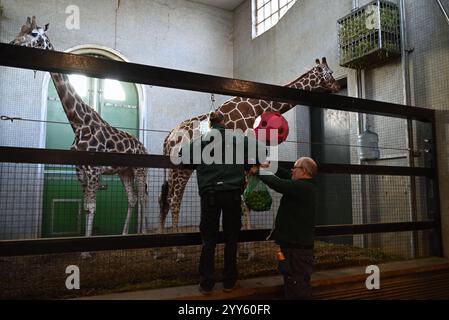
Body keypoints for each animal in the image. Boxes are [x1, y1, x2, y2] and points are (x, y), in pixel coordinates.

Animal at [10, 16, 149, 248]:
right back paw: (124, 235)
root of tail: (144, 148)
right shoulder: (80, 171)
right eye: (20, 30)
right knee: (133, 199)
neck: (78, 123)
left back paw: (147, 236)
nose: (12, 44)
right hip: (125, 171)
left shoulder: (93, 170)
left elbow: (91, 208)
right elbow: (86, 208)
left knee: (145, 198)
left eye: (34, 34)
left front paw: (87, 250)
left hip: (140, 171)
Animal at [158, 57, 340, 258]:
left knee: (165, 199)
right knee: (174, 200)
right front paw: (249, 250)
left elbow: (244, 201)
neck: (259, 107)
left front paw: (242, 249)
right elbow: (245, 203)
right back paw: (178, 251)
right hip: (180, 168)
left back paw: (160, 250)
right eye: (329, 72)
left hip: (172, 169)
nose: (337, 86)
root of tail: (168, 138)